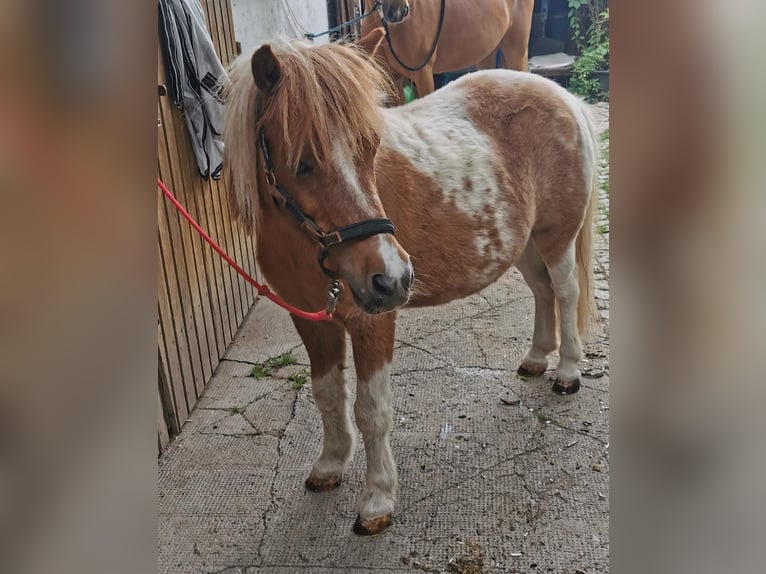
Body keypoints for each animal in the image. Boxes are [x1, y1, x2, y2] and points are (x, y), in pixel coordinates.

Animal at [225, 39, 604, 536]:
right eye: (301, 164)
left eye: (370, 149)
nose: (393, 278)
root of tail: (565, 99)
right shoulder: (312, 321)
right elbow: (327, 394)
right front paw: (330, 465)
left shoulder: (372, 322)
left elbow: (372, 410)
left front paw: (377, 500)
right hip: (522, 244)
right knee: (543, 292)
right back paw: (537, 358)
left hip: (555, 238)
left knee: (565, 292)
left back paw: (568, 372)